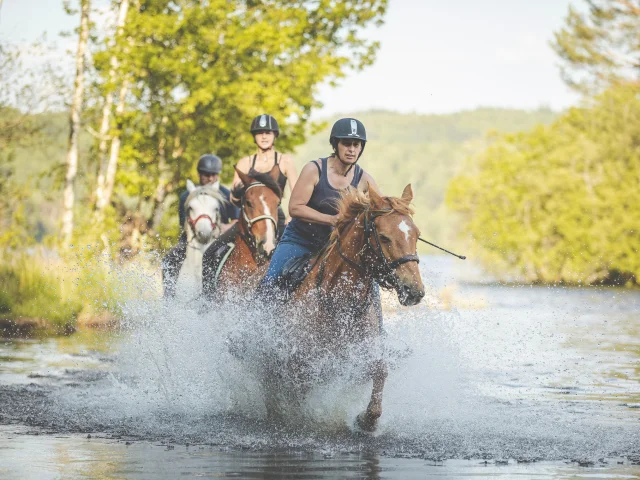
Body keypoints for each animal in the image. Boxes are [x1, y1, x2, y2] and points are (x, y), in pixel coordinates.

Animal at [260, 184, 424, 432]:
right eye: (384, 237)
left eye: (416, 235)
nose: (414, 290)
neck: (341, 304)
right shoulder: (300, 363)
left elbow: (379, 373)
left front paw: (365, 421)